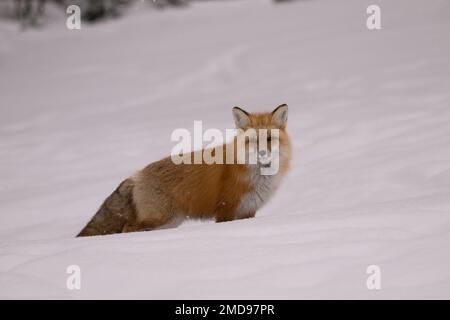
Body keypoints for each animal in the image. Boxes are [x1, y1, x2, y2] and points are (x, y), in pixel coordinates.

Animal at [76, 104, 292, 236]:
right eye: (252, 141)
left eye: (269, 138)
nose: (262, 152)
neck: (257, 176)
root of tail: (137, 175)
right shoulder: (225, 209)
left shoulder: (248, 211)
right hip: (160, 218)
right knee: (127, 228)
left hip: (168, 222)